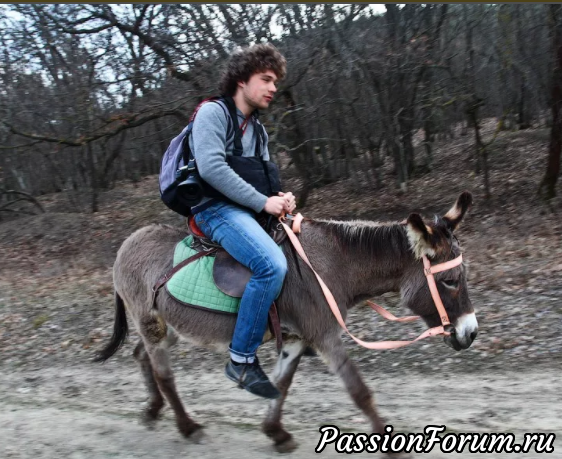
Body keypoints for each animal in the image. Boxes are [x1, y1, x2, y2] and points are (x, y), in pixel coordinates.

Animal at [94, 191, 478, 454]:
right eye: (450, 281)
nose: (471, 333)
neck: (328, 265)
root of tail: (128, 242)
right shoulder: (325, 336)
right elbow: (359, 391)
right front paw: (390, 448)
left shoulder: (296, 339)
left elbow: (282, 385)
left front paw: (275, 433)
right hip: (152, 324)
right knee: (164, 374)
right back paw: (188, 427)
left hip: (169, 326)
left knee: (141, 356)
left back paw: (152, 411)